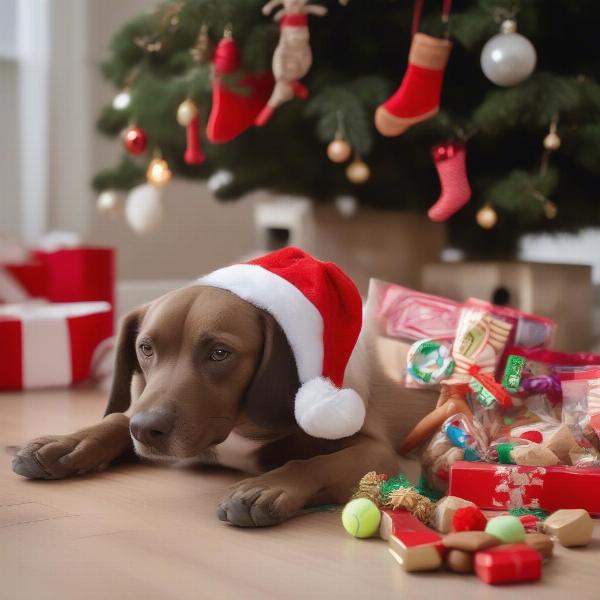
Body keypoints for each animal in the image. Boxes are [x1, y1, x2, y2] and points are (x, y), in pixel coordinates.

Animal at [12, 286, 436, 524]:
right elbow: (118, 418)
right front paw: (69, 442)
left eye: (219, 353)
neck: (238, 426)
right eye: (145, 348)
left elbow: (315, 463)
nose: (146, 430)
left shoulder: (376, 452)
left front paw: (269, 486)